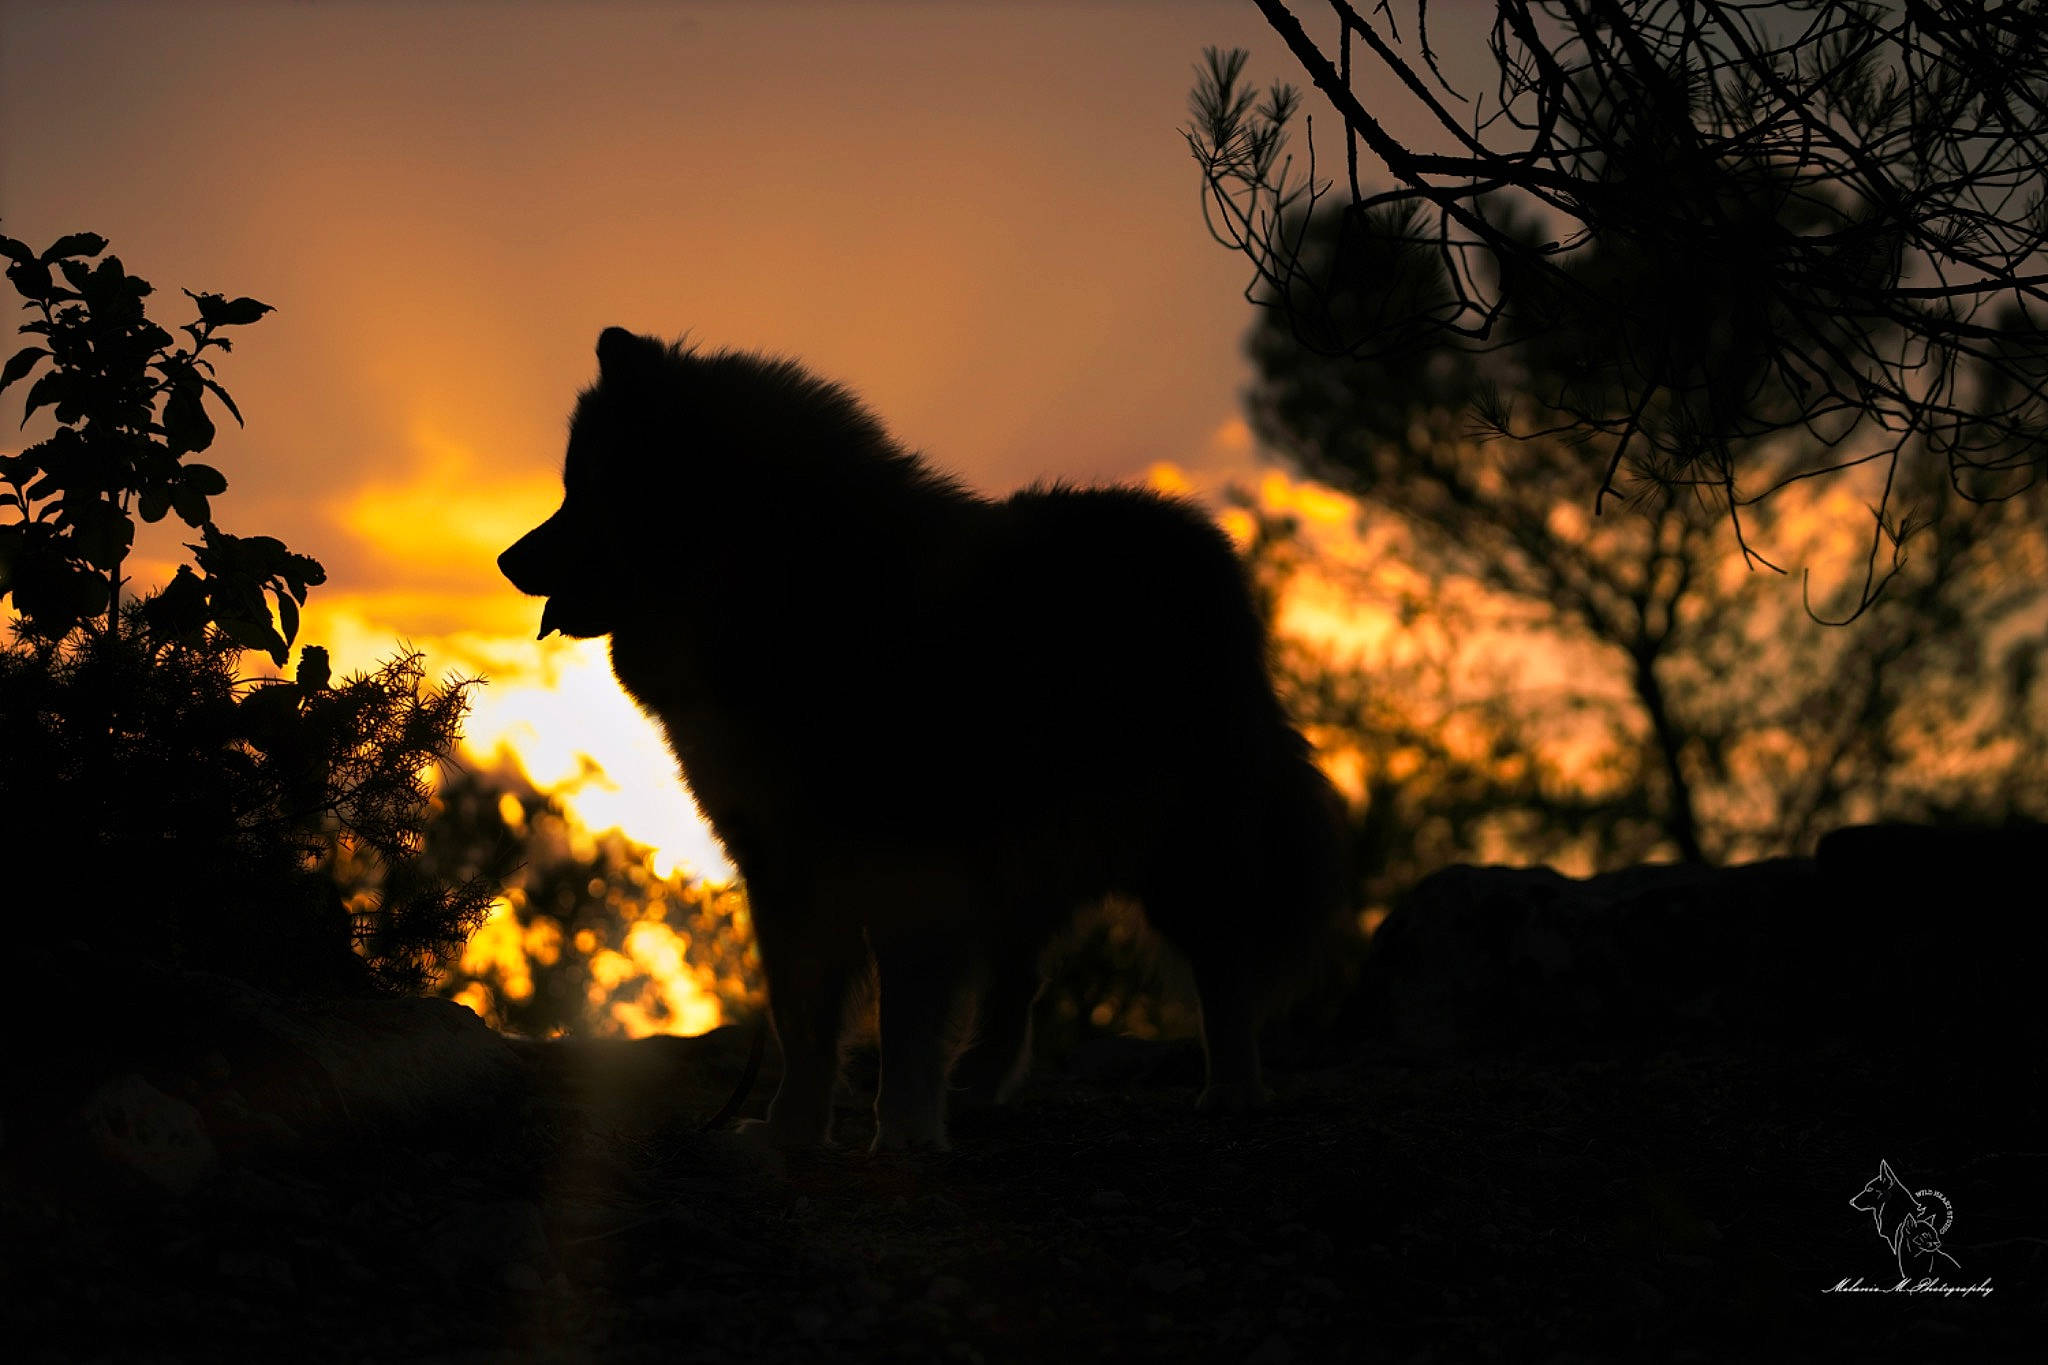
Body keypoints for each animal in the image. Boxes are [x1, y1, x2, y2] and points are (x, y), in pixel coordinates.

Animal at [500, 328, 1348, 1150]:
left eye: (583, 489)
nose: (506, 559)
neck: (789, 591)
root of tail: (1206, 548)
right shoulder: (783, 870)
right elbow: (803, 1020)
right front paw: (792, 1131)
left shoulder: (908, 866)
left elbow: (903, 1020)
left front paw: (903, 1130)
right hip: (1032, 857)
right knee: (1021, 977)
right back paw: (978, 1083)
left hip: (1180, 849)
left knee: (1222, 967)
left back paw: (1232, 1090)